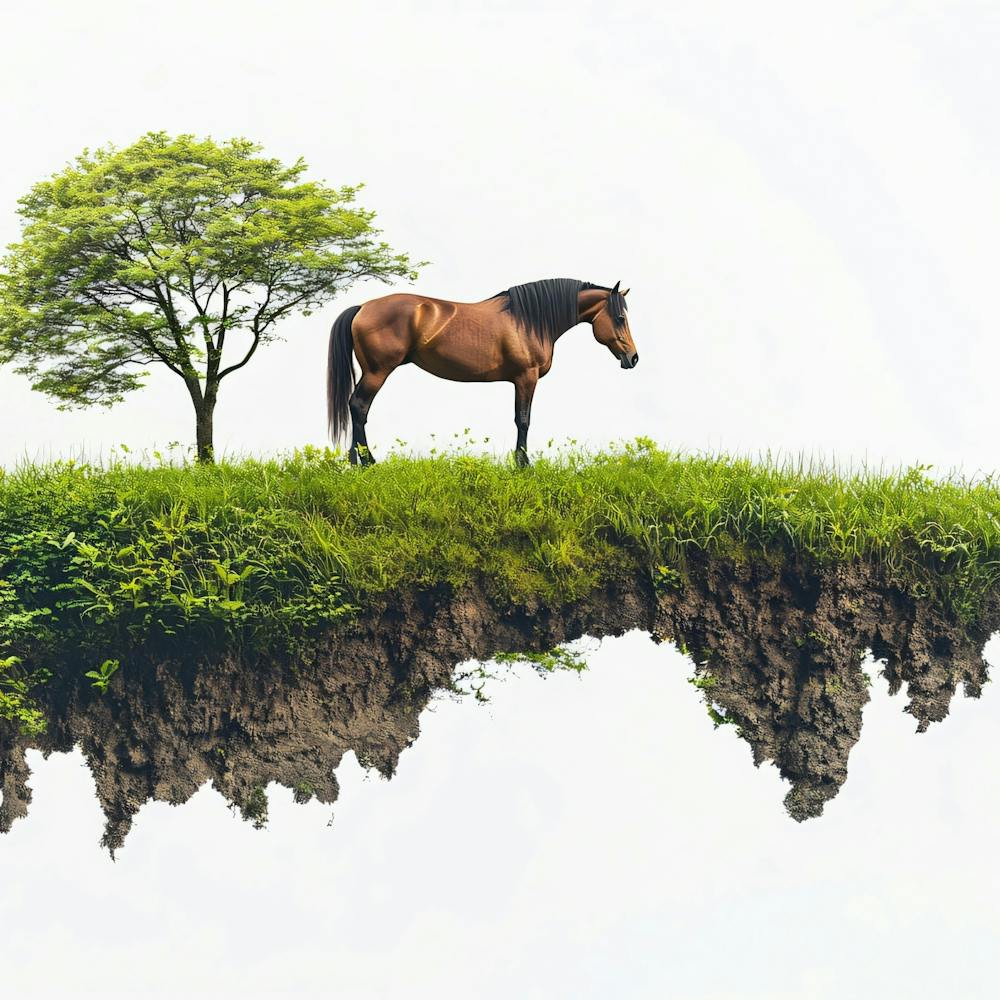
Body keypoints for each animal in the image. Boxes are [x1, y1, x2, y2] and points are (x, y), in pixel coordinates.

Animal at [326, 277, 638, 466]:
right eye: (619, 318)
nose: (633, 358)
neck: (530, 320)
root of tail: (362, 307)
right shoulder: (526, 378)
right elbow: (523, 420)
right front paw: (523, 464)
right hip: (377, 371)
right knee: (359, 406)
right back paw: (366, 462)